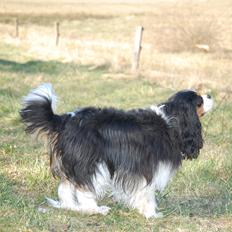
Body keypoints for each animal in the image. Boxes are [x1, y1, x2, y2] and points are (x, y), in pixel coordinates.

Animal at [20, 83, 212, 218]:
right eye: (200, 101)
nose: (210, 94)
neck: (172, 120)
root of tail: (66, 118)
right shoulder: (146, 166)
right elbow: (148, 192)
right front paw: (151, 214)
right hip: (91, 162)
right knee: (83, 187)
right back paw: (94, 209)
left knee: (66, 186)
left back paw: (72, 207)